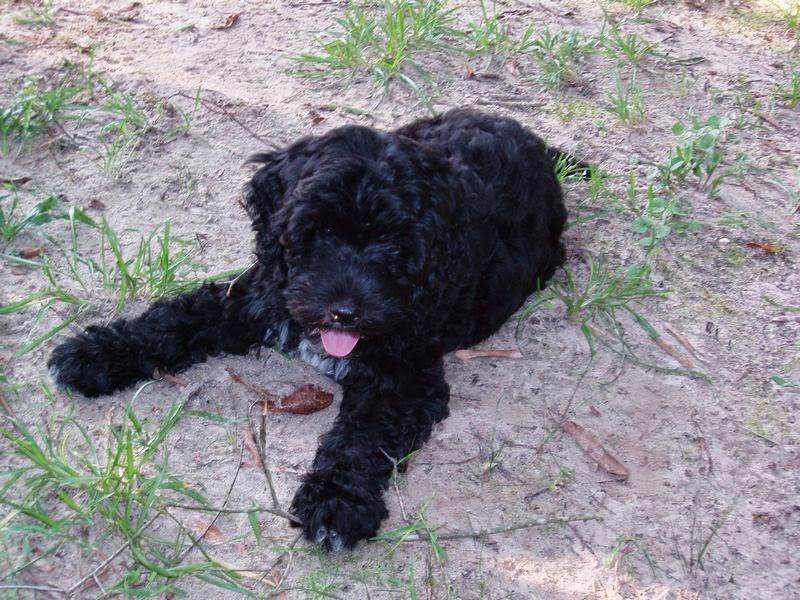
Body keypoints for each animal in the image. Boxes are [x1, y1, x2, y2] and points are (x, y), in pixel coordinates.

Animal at [50, 109, 580, 552]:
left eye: (394, 242)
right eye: (320, 230)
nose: (344, 311)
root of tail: (529, 138)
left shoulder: (401, 379)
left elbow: (361, 440)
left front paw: (335, 503)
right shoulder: (251, 297)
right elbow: (173, 320)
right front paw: (94, 354)